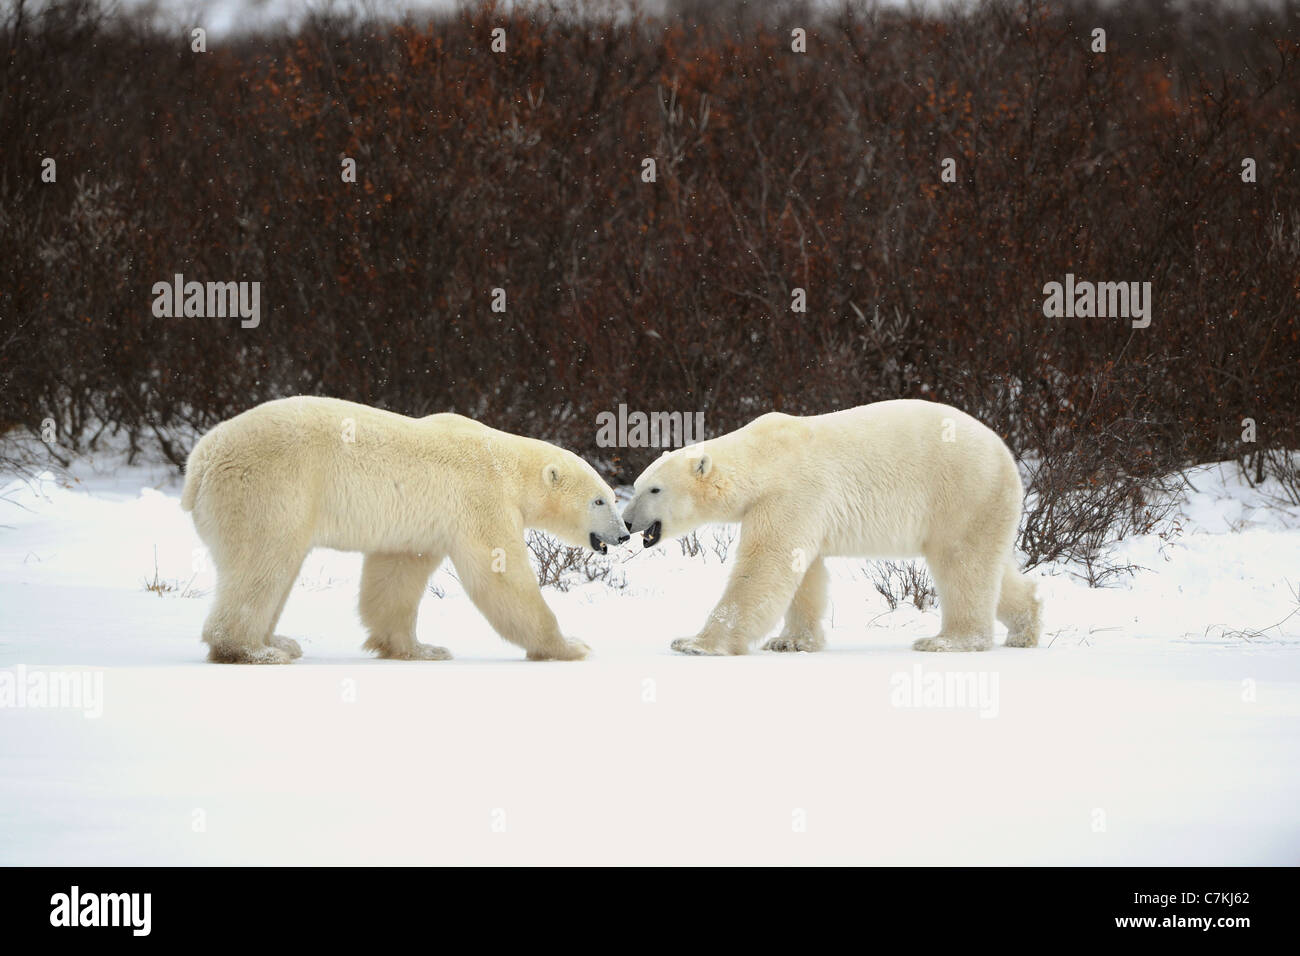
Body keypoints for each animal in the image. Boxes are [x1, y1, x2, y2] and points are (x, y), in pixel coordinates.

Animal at [183, 395, 629, 665]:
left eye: (611, 496)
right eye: (599, 501)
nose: (624, 534)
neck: (508, 462)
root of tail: (201, 461)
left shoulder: (420, 524)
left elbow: (395, 577)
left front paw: (421, 648)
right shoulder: (482, 497)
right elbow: (502, 576)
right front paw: (571, 646)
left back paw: (279, 641)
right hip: (271, 488)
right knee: (263, 562)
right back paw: (253, 650)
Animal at [624, 400, 1040, 655]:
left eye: (654, 489)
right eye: (639, 484)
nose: (627, 521)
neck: (765, 458)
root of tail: (1005, 454)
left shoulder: (791, 494)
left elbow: (764, 566)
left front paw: (695, 642)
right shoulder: (803, 510)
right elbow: (804, 573)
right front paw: (791, 642)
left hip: (962, 494)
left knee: (961, 564)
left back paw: (946, 641)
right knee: (991, 568)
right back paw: (1025, 628)